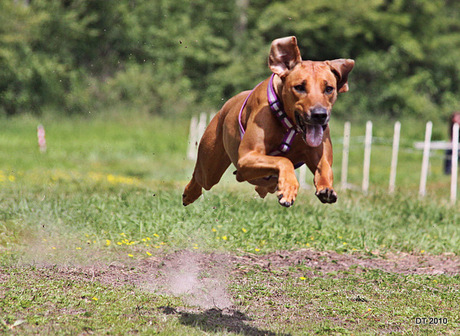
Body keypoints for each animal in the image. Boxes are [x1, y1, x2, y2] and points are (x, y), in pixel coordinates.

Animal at [181, 35, 354, 206]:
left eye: (329, 88)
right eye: (299, 87)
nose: (319, 115)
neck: (291, 127)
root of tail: (226, 105)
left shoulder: (319, 152)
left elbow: (325, 167)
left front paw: (326, 188)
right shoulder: (246, 157)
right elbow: (283, 160)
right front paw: (289, 187)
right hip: (210, 164)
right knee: (200, 176)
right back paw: (189, 193)